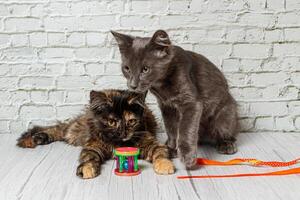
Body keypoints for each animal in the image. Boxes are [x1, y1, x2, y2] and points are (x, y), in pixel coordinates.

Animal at [17, 89, 176, 178]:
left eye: (131, 121)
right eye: (111, 122)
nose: (123, 133)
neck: (117, 143)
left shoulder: (149, 141)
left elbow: (160, 152)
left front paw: (164, 165)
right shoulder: (93, 146)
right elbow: (88, 157)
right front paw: (87, 169)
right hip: (76, 132)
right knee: (59, 129)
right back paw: (35, 138)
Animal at [110, 30, 239, 170]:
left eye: (145, 69)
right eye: (127, 68)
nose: (132, 85)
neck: (161, 85)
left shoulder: (191, 103)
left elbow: (185, 129)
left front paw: (188, 157)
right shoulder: (167, 107)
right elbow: (171, 128)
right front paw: (171, 148)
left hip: (224, 117)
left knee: (228, 133)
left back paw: (226, 144)